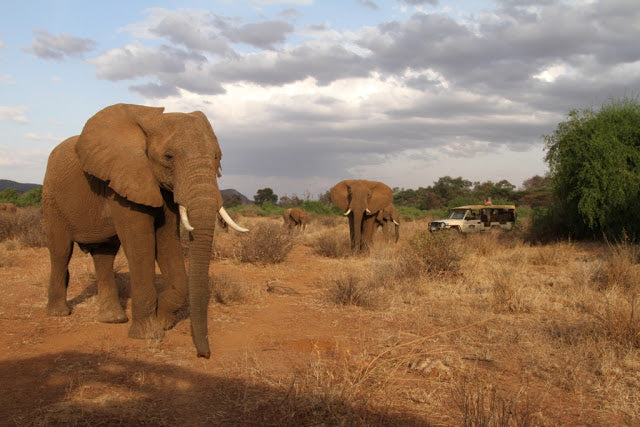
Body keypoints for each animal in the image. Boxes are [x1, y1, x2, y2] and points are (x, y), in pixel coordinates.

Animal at [42, 103, 248, 359]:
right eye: (169, 157)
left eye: (217, 157)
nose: (204, 354)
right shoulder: (125, 179)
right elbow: (141, 243)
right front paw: (148, 334)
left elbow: (167, 241)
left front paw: (163, 321)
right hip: (52, 197)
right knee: (61, 251)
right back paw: (59, 313)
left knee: (104, 255)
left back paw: (113, 319)